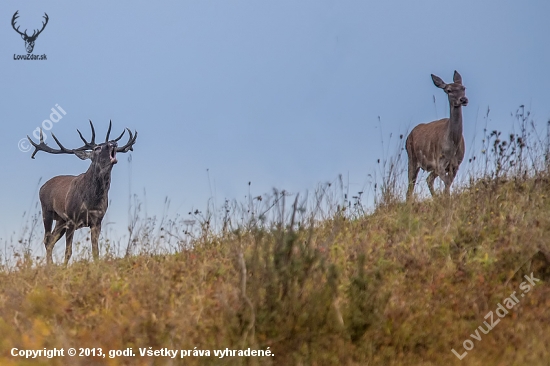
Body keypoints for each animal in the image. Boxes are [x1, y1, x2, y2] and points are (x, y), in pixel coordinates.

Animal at [27, 121, 137, 264]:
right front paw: (64, 268)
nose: (113, 143)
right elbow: (68, 252)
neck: (91, 200)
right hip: (47, 211)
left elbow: (96, 252)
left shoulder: (97, 221)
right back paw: (49, 265)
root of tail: (42, 186)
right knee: (47, 239)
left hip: (61, 220)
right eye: (97, 148)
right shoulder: (72, 219)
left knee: (51, 240)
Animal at [406, 71, 470, 200]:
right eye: (449, 90)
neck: (452, 145)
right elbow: (446, 183)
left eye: (463, 88)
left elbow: (447, 185)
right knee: (410, 188)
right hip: (412, 158)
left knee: (428, 179)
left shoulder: (456, 164)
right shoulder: (440, 162)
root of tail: (408, 137)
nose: (463, 99)